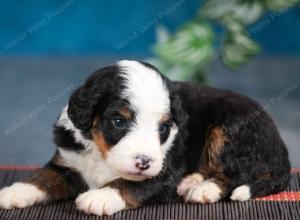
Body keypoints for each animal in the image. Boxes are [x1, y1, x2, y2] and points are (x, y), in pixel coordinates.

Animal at [0, 59, 290, 215]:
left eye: (163, 128)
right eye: (119, 121)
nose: (144, 162)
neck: (102, 156)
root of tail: (279, 144)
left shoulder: (164, 172)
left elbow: (129, 184)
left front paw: (100, 197)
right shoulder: (68, 162)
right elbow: (43, 177)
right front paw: (15, 192)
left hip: (230, 127)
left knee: (238, 174)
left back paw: (202, 189)